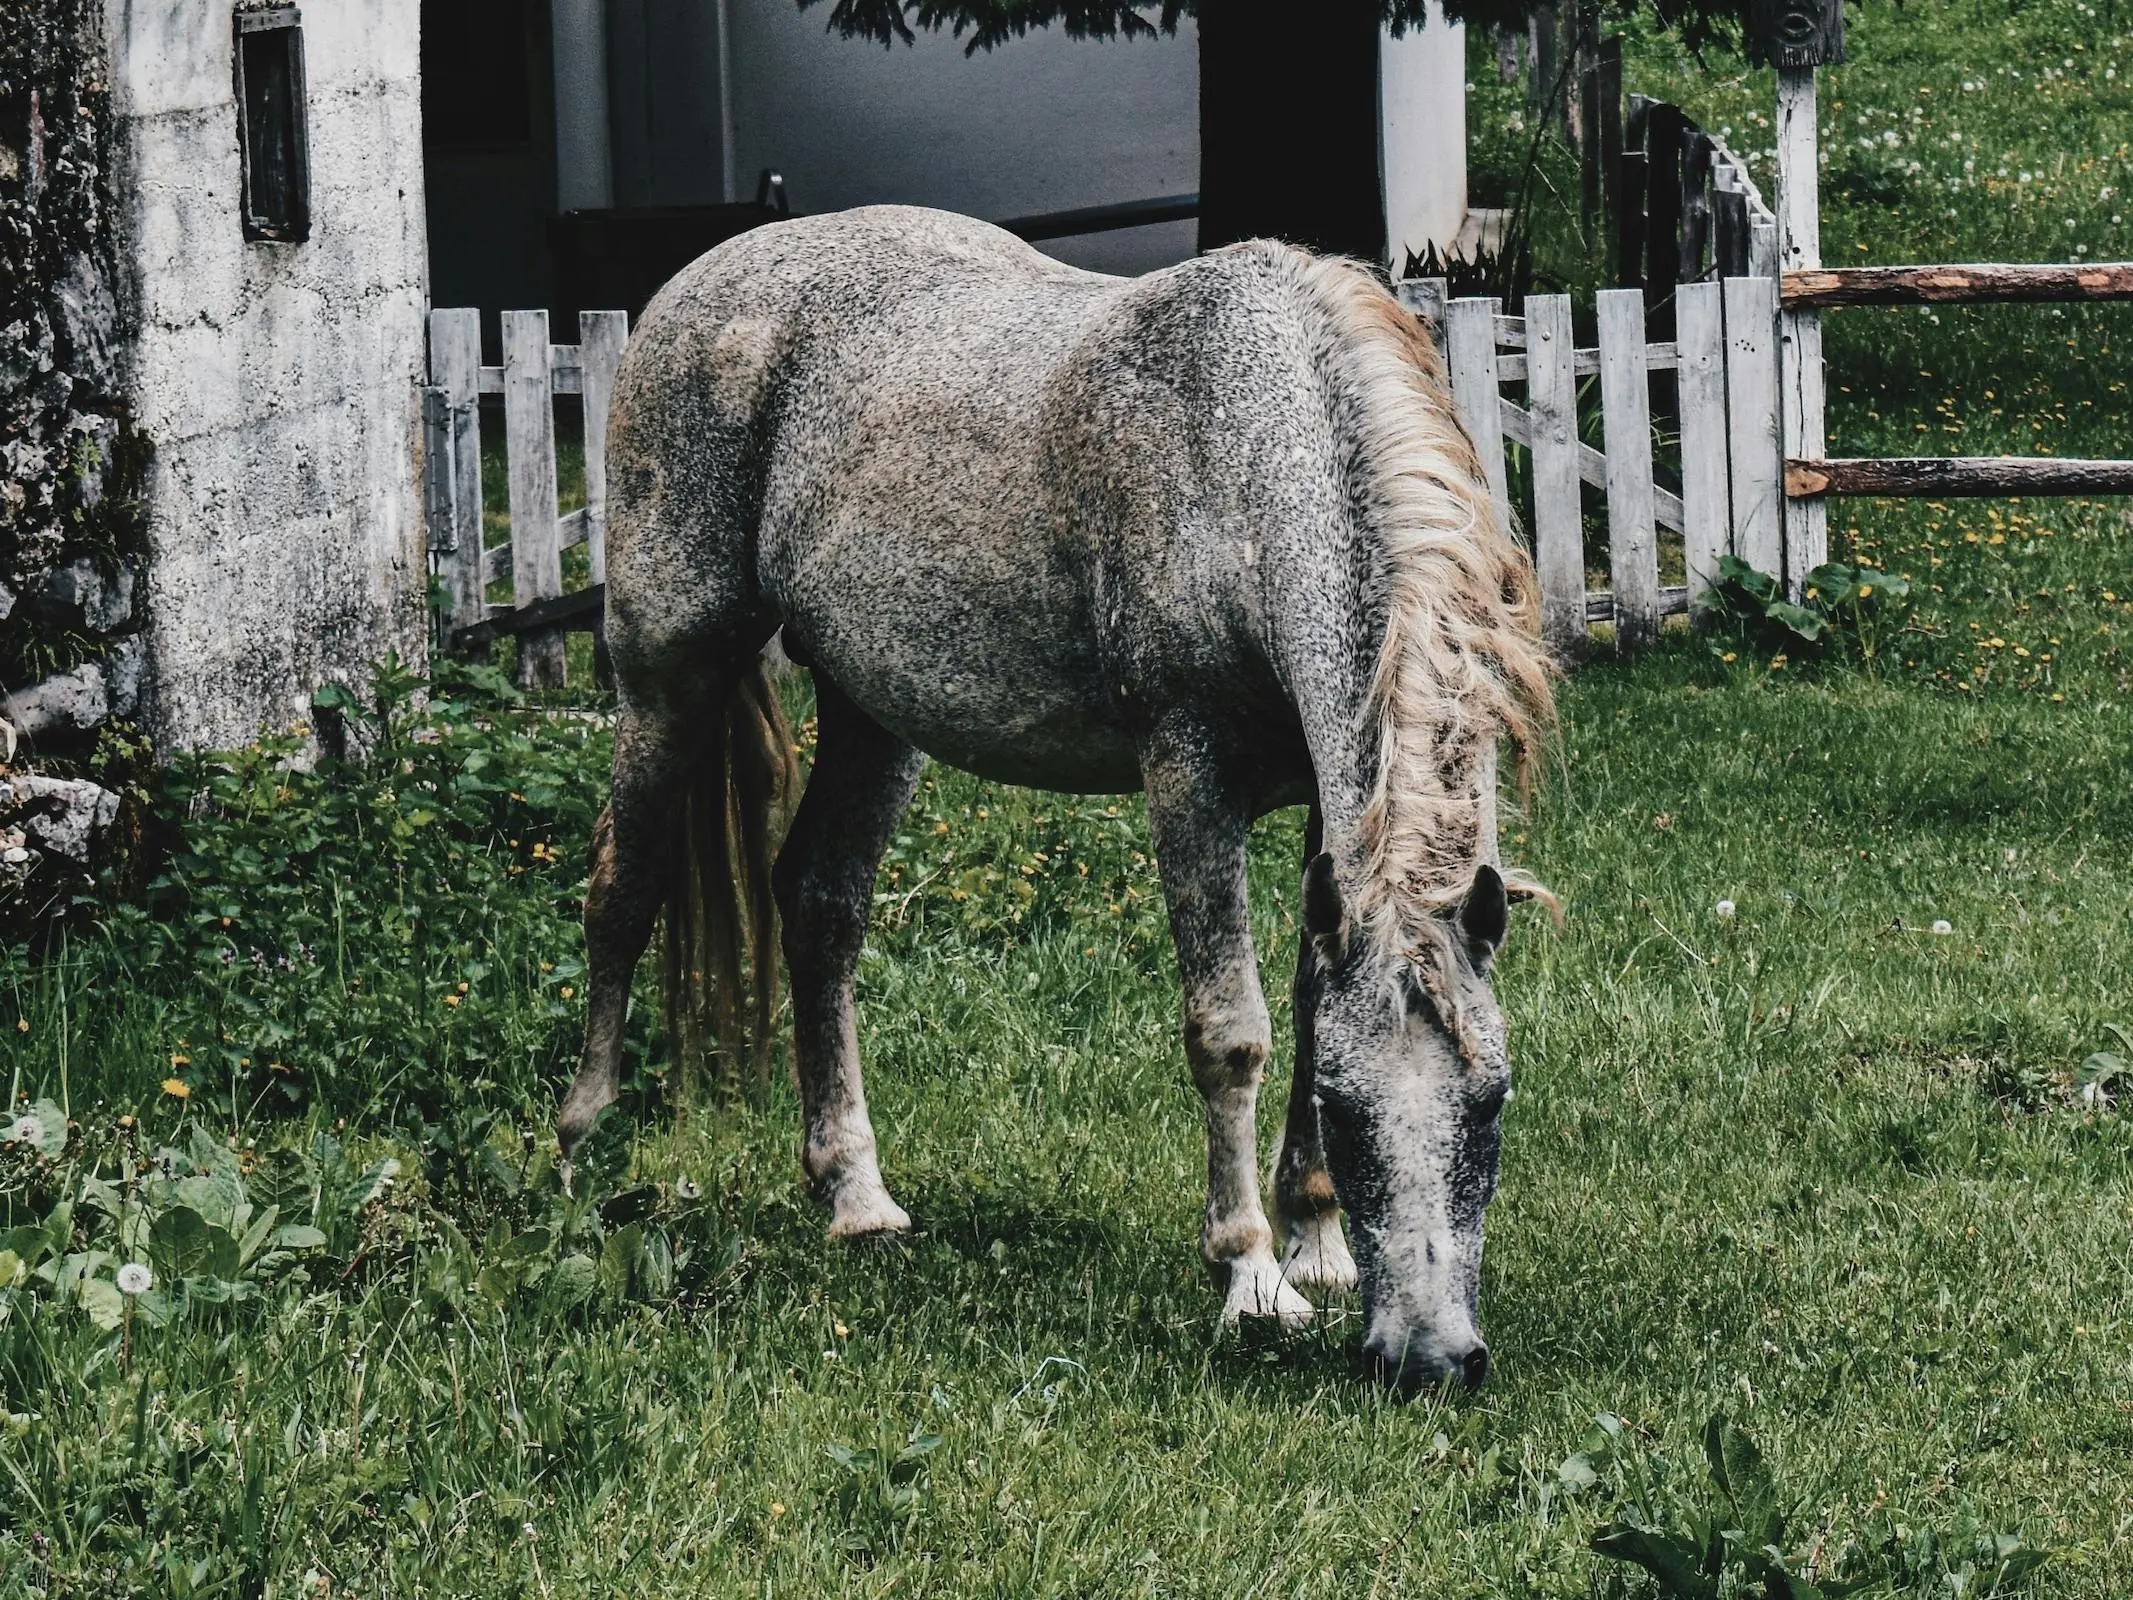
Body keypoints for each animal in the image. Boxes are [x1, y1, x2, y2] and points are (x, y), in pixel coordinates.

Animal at [550, 210, 1552, 1390]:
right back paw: (576, 1153)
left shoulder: (1329, 811)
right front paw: (1251, 1275)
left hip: (872, 711)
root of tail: (696, 279)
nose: (1434, 1361)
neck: (1244, 453)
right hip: (668, 672)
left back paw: (855, 1197)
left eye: (1492, 1099)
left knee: (819, 905)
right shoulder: (1187, 771)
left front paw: (1315, 1240)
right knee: (621, 890)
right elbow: (1233, 1031)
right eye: (1352, 1114)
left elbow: (1312, 1008)